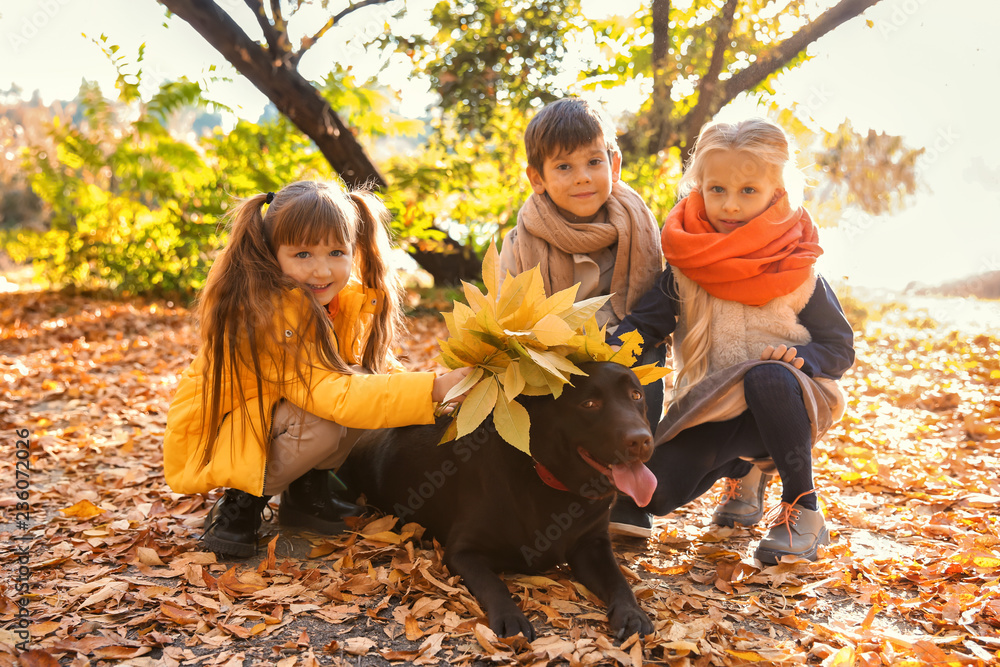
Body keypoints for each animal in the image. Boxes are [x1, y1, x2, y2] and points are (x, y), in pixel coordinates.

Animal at [340, 366, 660, 640]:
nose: (641, 440)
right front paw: (511, 617)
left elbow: (619, 580)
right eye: (589, 404)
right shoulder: (463, 551)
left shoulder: (592, 544)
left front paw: (632, 614)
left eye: (636, 396)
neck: (544, 478)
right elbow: (494, 584)